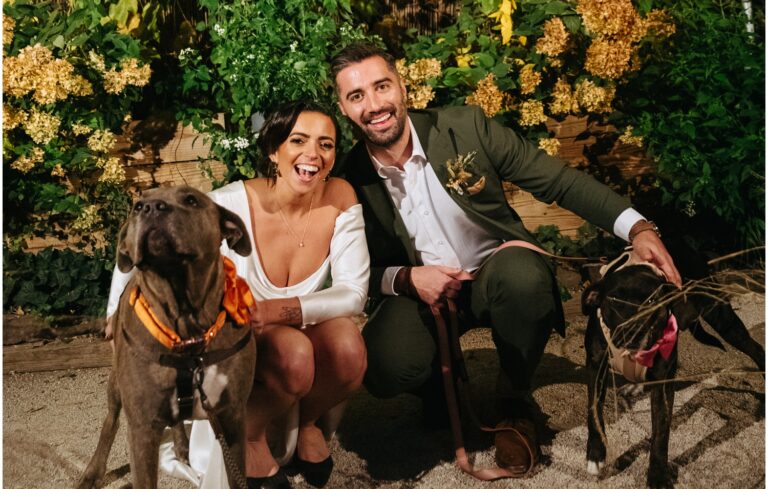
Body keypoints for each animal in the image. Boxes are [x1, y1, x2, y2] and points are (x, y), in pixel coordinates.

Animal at [78, 185, 258, 486]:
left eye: (191, 199)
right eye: (136, 206)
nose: (151, 207)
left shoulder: (232, 417)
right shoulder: (142, 430)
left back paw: (182, 448)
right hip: (116, 386)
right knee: (110, 423)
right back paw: (92, 471)